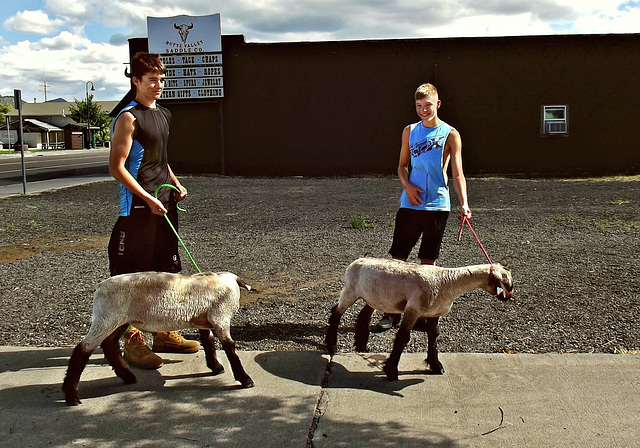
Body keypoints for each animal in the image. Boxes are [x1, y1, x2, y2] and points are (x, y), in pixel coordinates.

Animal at [64, 270, 255, 406]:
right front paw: (245, 380)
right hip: (107, 318)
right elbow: (230, 347)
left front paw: (216, 367)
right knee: (83, 348)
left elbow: (208, 343)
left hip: (120, 320)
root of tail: (100, 287)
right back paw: (72, 397)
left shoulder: (204, 321)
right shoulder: (220, 317)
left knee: (109, 344)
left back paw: (127, 376)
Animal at [328, 258, 512, 380]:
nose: (508, 298)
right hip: (350, 291)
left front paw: (436, 366)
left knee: (364, 315)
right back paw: (332, 346)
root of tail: (355, 262)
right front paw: (391, 371)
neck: (447, 282)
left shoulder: (433, 313)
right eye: (506, 283)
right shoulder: (413, 310)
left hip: (374, 297)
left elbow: (433, 337)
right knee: (335, 312)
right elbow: (402, 337)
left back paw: (361, 345)